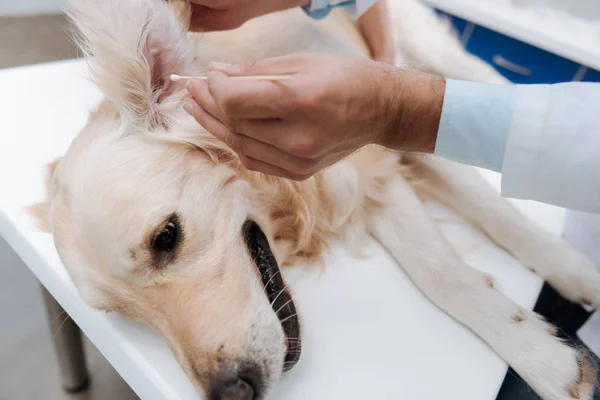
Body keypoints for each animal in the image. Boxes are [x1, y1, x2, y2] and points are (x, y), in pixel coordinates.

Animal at [30, 0, 600, 400]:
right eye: (124, 313)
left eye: (166, 237)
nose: (232, 392)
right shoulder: (361, 174)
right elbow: (438, 268)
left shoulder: (390, 136)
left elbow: (485, 227)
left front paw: (556, 324)